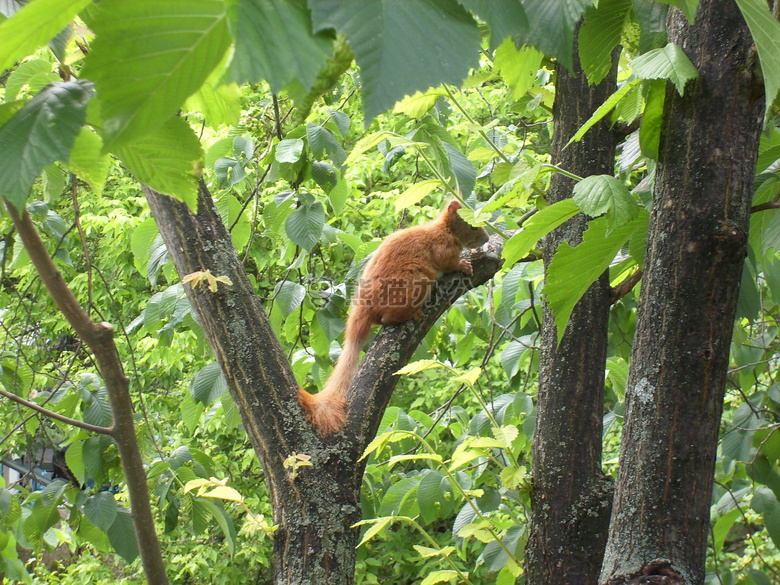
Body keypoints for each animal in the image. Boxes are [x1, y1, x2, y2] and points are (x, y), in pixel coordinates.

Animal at [298, 201, 488, 434]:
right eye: (472, 225)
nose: (487, 239)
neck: (445, 230)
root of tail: (365, 308)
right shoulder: (443, 249)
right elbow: (448, 263)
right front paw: (463, 265)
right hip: (415, 281)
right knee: (387, 318)